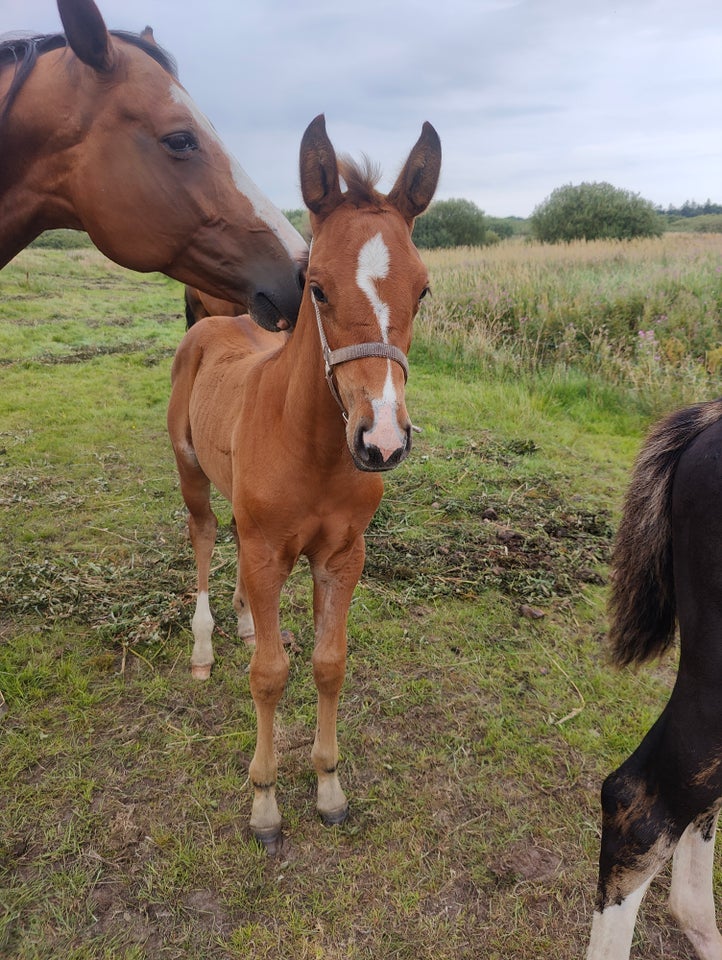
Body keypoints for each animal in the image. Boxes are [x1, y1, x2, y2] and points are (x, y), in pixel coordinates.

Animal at [169, 114, 438, 848]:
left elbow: (327, 664)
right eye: (316, 285)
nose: (381, 442)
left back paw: (243, 623)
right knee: (204, 539)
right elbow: (269, 676)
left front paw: (329, 787)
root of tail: (214, 320)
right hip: (191, 473)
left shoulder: (341, 555)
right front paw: (264, 803)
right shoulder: (270, 551)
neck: (315, 450)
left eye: (423, 290)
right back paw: (205, 646)